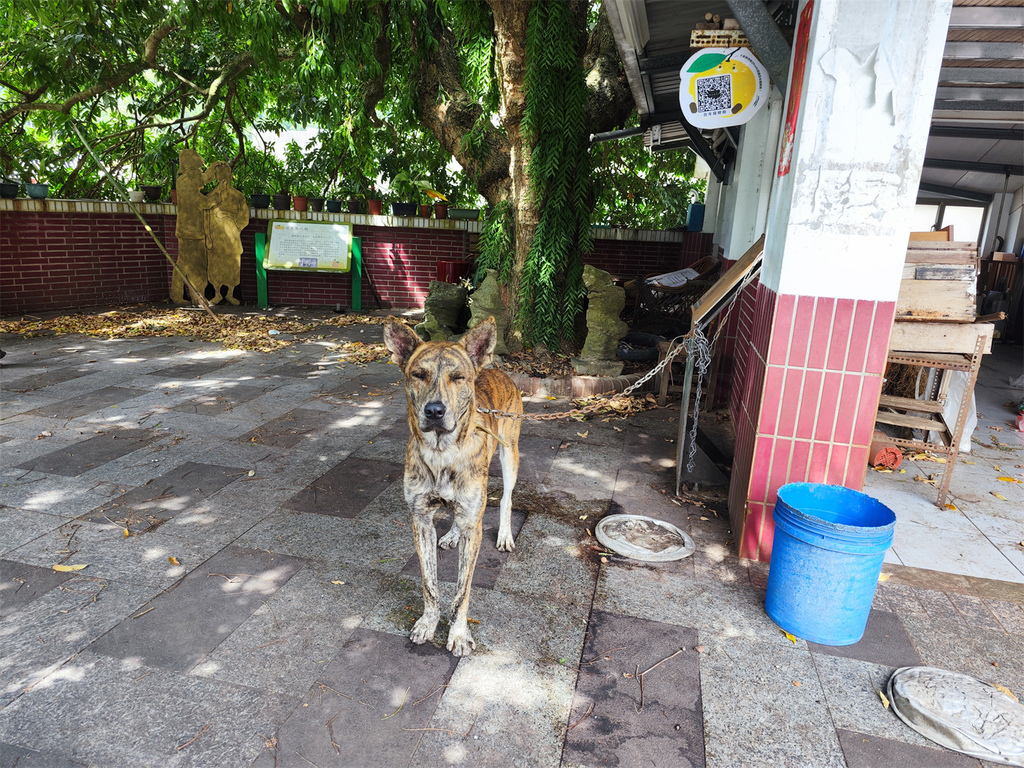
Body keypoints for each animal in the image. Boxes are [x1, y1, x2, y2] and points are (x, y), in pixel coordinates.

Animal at [387, 315, 524, 659]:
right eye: (418, 374)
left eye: (458, 377)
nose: (435, 411)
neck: (442, 453)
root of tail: (492, 368)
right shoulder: (420, 520)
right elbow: (429, 583)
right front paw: (428, 622)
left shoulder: (473, 528)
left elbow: (463, 591)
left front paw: (459, 634)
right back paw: (451, 535)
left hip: (510, 453)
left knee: (505, 499)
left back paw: (504, 534)